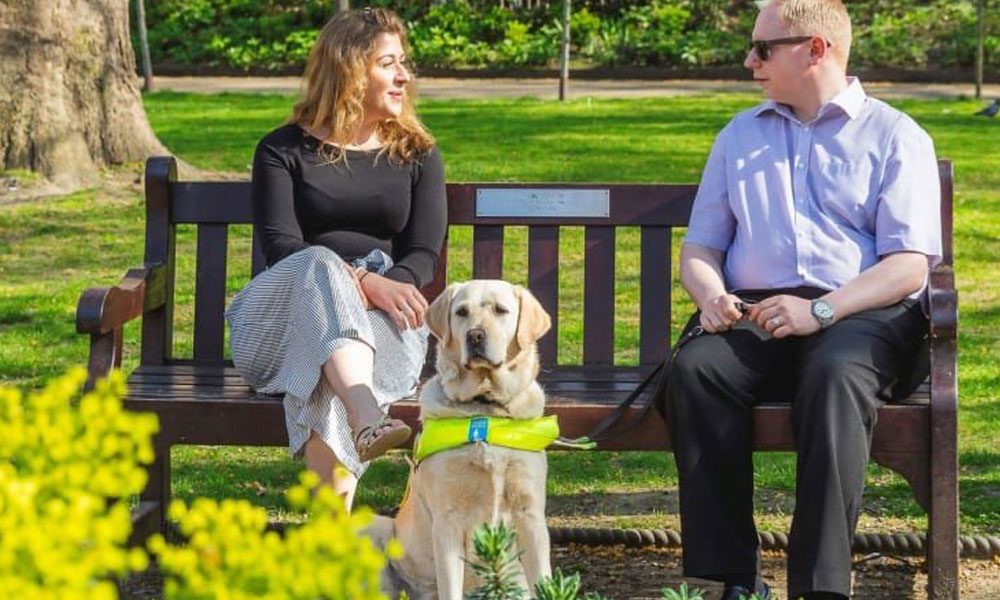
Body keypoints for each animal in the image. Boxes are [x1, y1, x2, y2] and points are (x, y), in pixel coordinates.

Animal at [368, 282, 556, 600]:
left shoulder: (530, 514)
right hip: (375, 526)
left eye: (500, 310)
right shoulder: (448, 520)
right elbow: (450, 588)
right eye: (461, 312)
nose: (475, 335)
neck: (483, 408)